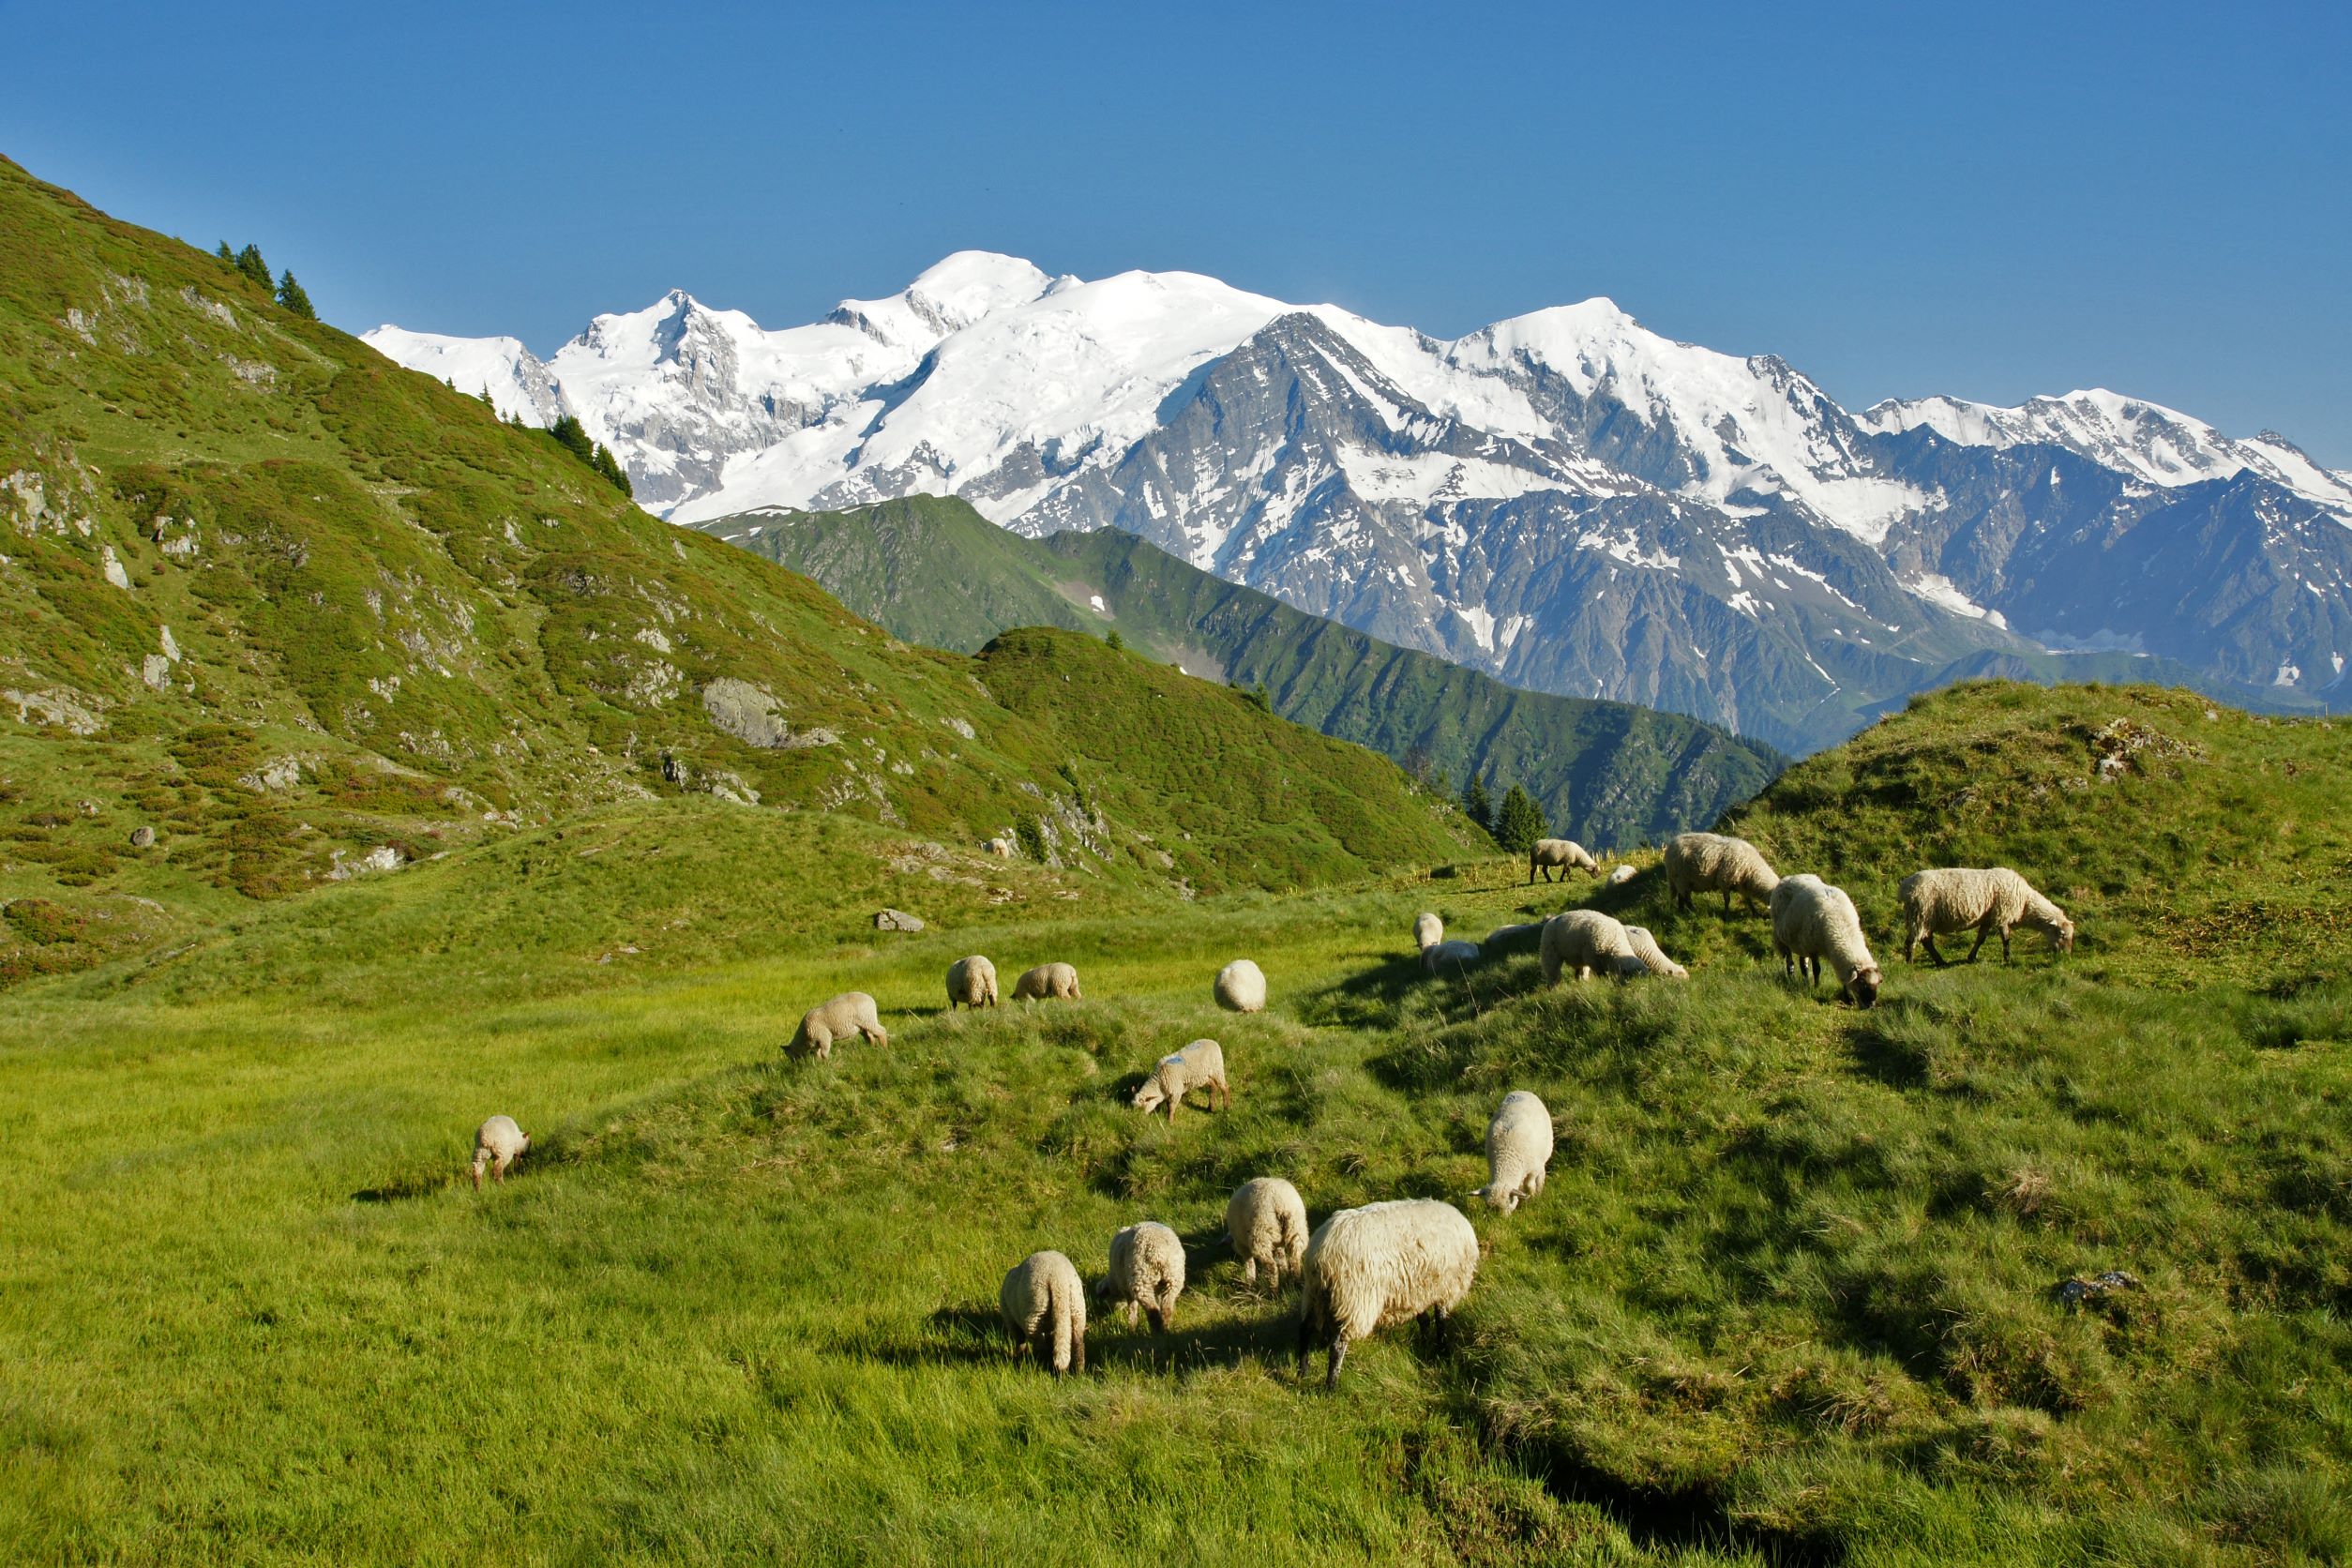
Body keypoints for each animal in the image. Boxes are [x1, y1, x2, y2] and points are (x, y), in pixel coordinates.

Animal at [1002, 1250, 1091, 1372]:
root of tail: (1058, 1278)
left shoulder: (1010, 1318)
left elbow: (1020, 1340)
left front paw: (1020, 1357)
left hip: (1036, 1308)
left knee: (1039, 1345)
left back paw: (1041, 1365)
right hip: (1077, 1306)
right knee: (1078, 1343)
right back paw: (1079, 1371)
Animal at [1298, 1194, 1477, 1391]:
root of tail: (1322, 1253)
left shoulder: (1416, 1290)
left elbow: (1424, 1320)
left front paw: (1425, 1343)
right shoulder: (1445, 1288)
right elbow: (1440, 1320)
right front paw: (1442, 1349)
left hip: (1314, 1294)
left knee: (1305, 1329)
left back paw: (1303, 1371)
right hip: (1353, 1299)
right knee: (1337, 1346)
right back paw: (1331, 1386)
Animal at [1477, 1091, 1552, 1213]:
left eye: (1508, 1204)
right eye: (1488, 1207)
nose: (1499, 1218)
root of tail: (1523, 1091)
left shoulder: (1533, 1169)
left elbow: (1530, 1185)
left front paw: (1532, 1198)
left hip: (1543, 1156)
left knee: (1541, 1173)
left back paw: (1540, 1189)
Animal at [1769, 879, 1881, 1010]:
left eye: (1878, 983)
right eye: (1862, 983)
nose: (1871, 1005)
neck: (1842, 926)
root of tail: (1786, 879)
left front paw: (1848, 998)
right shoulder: (1813, 948)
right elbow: (1817, 969)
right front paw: (1816, 987)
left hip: (1801, 942)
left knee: (1803, 964)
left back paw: (1805, 982)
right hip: (1784, 937)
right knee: (1790, 961)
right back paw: (1792, 979)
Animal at [1891, 865, 2079, 963]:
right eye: (2062, 935)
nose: (2067, 957)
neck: (2025, 902)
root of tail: (1904, 887)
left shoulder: (1989, 918)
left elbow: (1981, 938)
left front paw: (1971, 957)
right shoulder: (2002, 914)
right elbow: (2006, 938)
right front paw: (2007, 959)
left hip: (1925, 918)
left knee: (1926, 940)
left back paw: (1940, 962)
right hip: (1920, 914)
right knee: (1913, 941)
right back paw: (1910, 963)